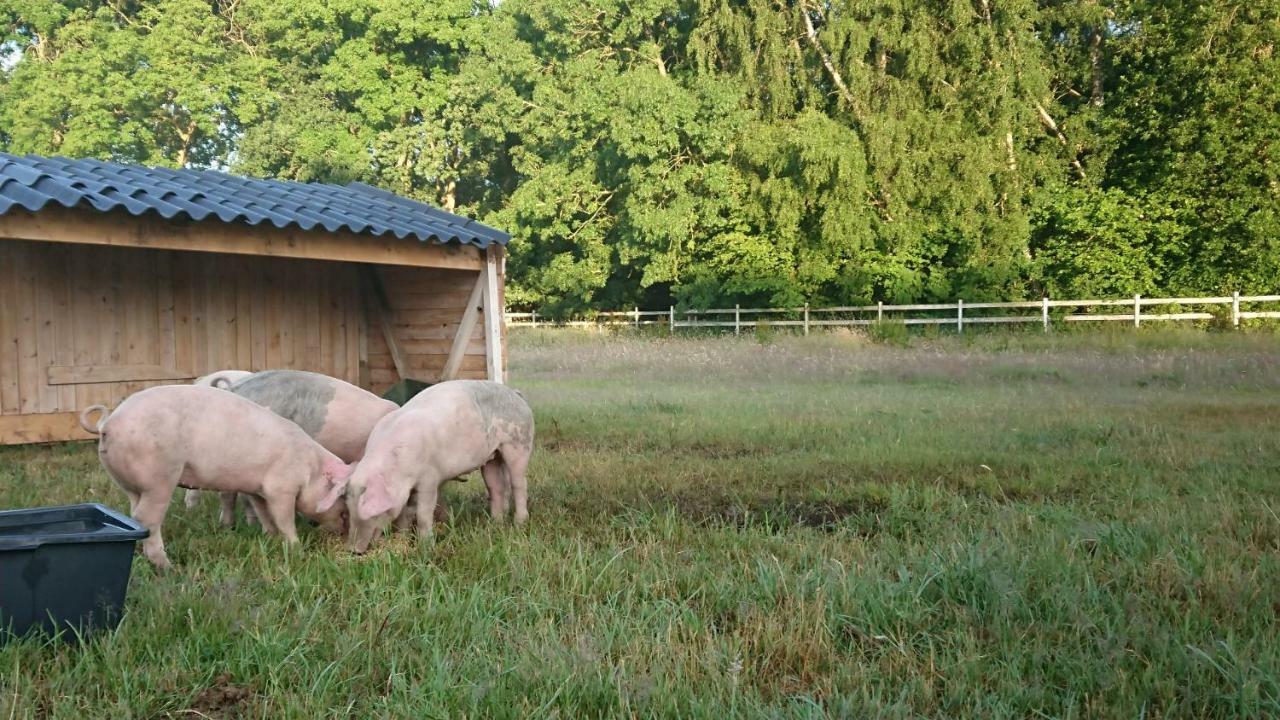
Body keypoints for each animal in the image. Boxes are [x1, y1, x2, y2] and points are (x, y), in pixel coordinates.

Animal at [79, 381, 350, 566]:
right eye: (343, 504)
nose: (344, 532)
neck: (309, 467)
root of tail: (107, 424)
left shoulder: (259, 489)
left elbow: (265, 514)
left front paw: (270, 537)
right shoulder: (281, 488)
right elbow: (284, 519)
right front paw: (295, 548)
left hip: (128, 483)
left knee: (134, 514)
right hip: (159, 478)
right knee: (146, 517)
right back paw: (166, 566)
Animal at [322, 379, 537, 550]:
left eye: (371, 513)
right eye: (348, 509)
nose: (353, 550)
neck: (398, 469)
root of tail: (516, 394)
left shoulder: (430, 477)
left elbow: (424, 512)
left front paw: (426, 545)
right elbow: (404, 513)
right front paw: (402, 536)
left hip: (519, 443)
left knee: (519, 483)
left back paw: (519, 523)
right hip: (492, 457)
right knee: (496, 487)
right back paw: (495, 523)